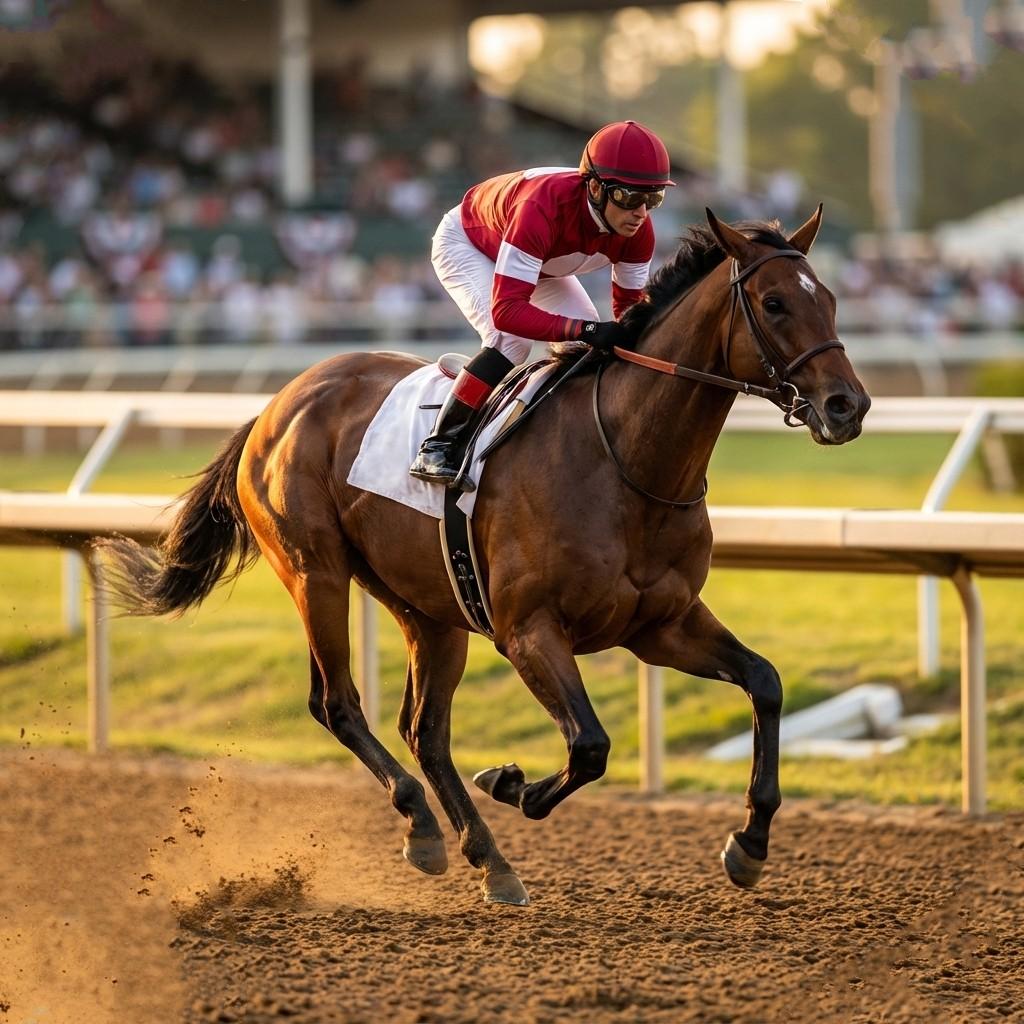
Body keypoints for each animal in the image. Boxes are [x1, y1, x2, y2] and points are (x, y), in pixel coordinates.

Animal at [97, 207, 870, 906]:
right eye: (774, 303)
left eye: (829, 298)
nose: (848, 406)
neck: (624, 460)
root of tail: (276, 404)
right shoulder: (528, 631)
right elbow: (589, 745)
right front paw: (512, 782)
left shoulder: (660, 626)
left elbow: (765, 682)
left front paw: (750, 844)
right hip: (316, 572)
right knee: (338, 704)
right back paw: (424, 826)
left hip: (428, 608)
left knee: (423, 729)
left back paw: (486, 857)